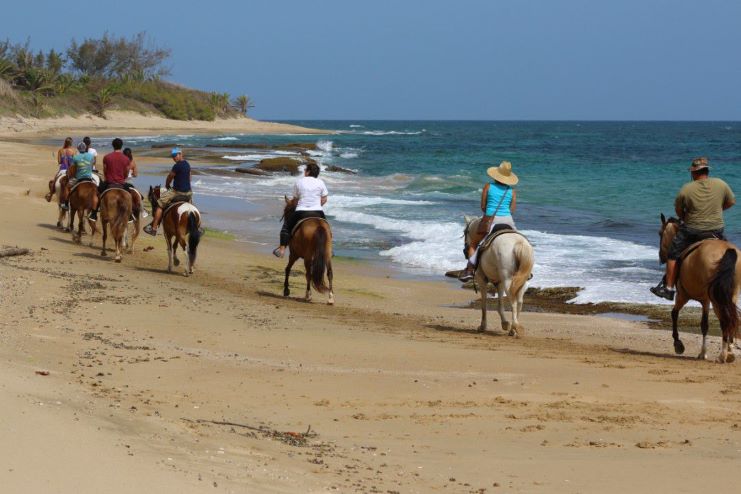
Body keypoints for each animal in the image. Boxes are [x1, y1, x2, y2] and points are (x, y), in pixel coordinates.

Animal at [656, 213, 736, 362]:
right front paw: (703, 353)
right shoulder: (706, 300)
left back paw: (723, 355)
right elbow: (704, 325)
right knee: (732, 319)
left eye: (660, 233)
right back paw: (729, 352)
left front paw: (678, 344)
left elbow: (675, 314)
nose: (661, 257)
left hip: (716, 299)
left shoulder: (684, 295)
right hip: (728, 296)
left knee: (725, 321)